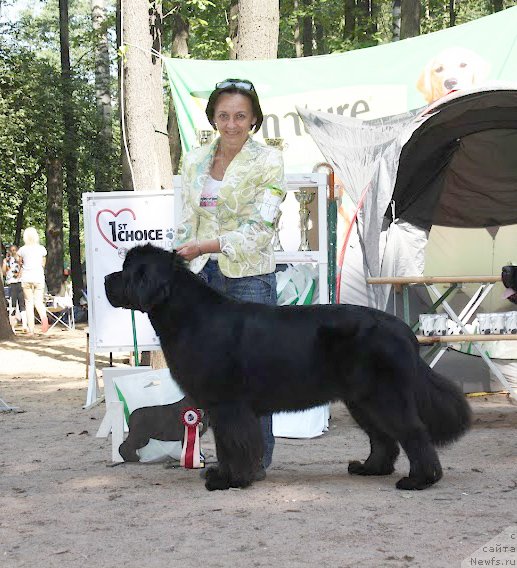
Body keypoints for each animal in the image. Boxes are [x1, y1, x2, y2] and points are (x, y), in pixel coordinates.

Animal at [106, 246, 472, 490]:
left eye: (127, 270)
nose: (108, 279)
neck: (189, 316)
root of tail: (402, 328)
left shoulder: (228, 404)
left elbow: (234, 443)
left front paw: (230, 480)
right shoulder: (221, 407)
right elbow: (227, 444)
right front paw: (226, 475)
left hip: (384, 395)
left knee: (413, 432)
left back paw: (420, 480)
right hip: (362, 399)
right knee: (383, 437)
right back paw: (371, 469)